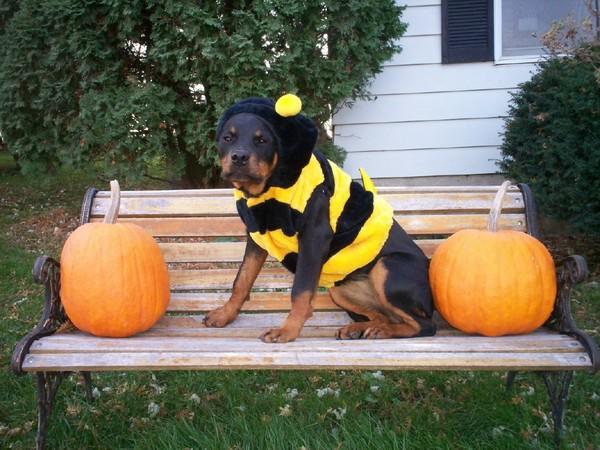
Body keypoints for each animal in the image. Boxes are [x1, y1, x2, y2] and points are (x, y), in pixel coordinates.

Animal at [203, 94, 436, 342]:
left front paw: (287, 330)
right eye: (228, 138)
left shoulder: (314, 237)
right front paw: (225, 315)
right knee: (383, 315)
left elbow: (300, 290)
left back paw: (384, 331)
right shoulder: (256, 235)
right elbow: (242, 279)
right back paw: (359, 329)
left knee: (424, 325)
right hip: (339, 289)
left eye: (262, 140)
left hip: (385, 266)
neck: (268, 189)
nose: (239, 157)